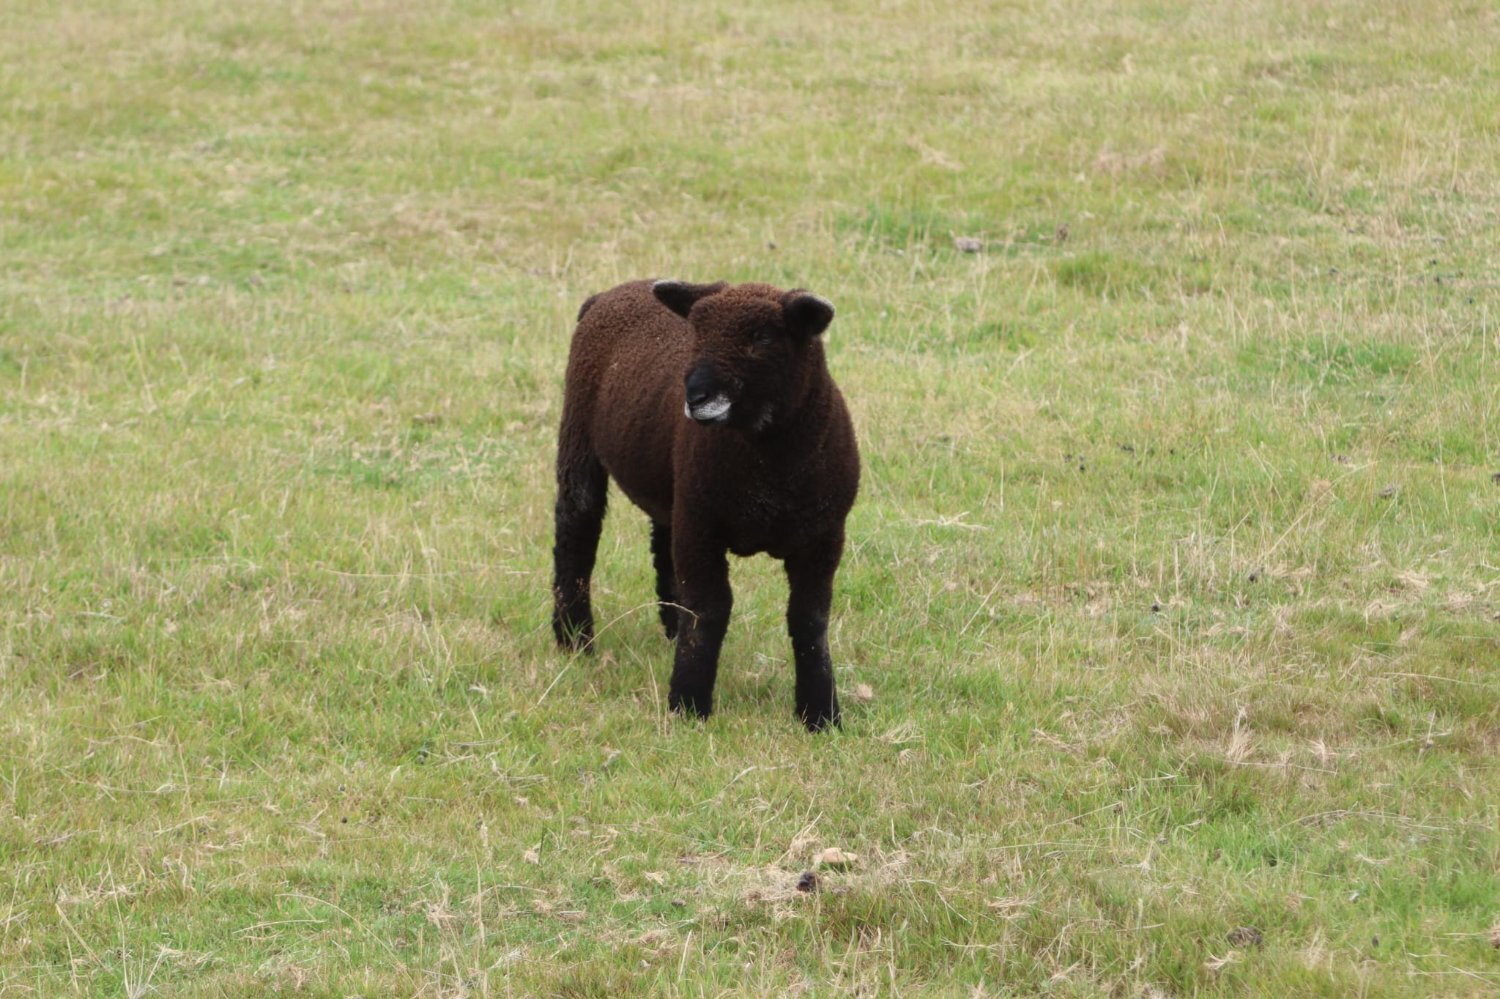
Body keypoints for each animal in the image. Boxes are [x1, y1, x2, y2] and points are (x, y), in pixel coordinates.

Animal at [550, 279, 860, 730]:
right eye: (697, 332)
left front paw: (820, 715)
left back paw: (668, 632)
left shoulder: (823, 536)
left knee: (662, 546)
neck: (770, 469)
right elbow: (709, 611)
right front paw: (689, 704)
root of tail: (608, 294)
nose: (696, 396)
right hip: (579, 433)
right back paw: (574, 639)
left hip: (674, 486)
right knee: (576, 530)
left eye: (763, 337)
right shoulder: (702, 527)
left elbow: (809, 619)